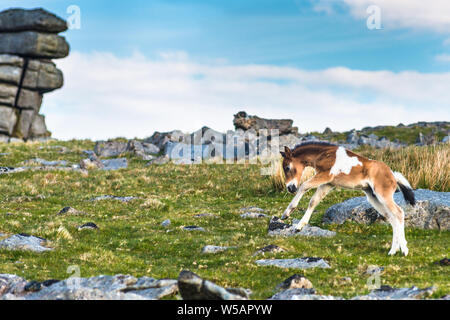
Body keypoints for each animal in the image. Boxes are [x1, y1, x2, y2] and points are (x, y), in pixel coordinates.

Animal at [282, 142, 414, 255]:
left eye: (287, 167)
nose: (290, 188)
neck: (323, 154)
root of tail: (393, 175)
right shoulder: (328, 183)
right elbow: (313, 201)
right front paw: (299, 225)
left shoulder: (325, 175)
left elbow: (304, 186)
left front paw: (287, 213)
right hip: (374, 198)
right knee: (392, 218)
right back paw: (394, 250)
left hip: (383, 195)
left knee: (399, 213)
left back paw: (403, 250)